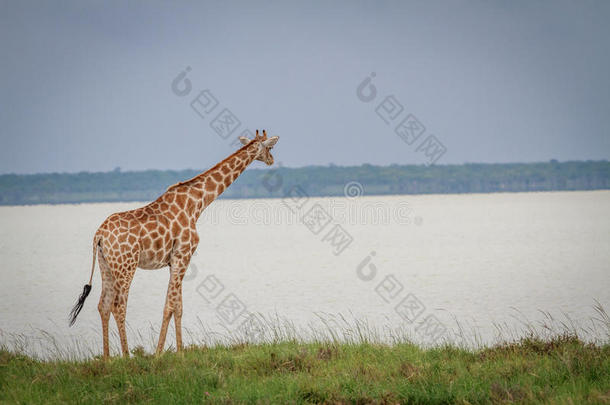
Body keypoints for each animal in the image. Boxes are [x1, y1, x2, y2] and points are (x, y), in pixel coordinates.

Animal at [69, 129, 278, 356]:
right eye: (270, 147)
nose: (271, 160)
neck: (197, 204)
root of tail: (99, 235)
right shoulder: (183, 254)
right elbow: (171, 305)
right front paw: (161, 354)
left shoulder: (173, 260)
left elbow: (177, 305)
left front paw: (179, 352)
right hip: (126, 265)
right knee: (118, 305)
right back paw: (126, 356)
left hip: (105, 264)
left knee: (103, 305)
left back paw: (108, 358)